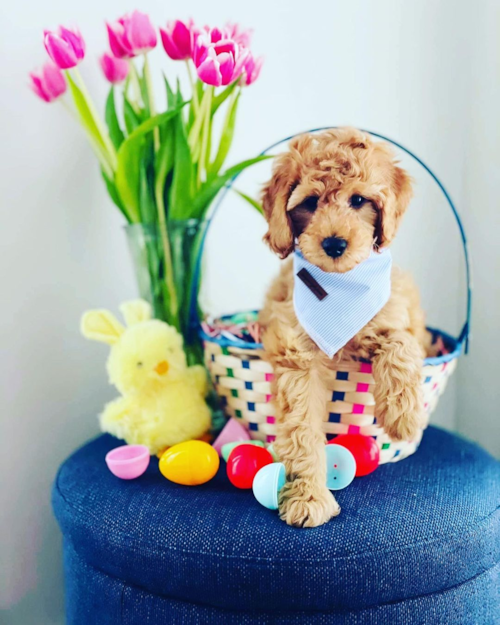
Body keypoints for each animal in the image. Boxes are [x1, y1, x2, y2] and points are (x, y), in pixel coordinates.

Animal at [258, 127, 430, 528]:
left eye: (359, 200)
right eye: (310, 203)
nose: (334, 243)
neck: (339, 289)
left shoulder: (395, 316)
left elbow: (400, 344)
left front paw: (404, 416)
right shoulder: (297, 356)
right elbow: (302, 428)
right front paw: (309, 497)